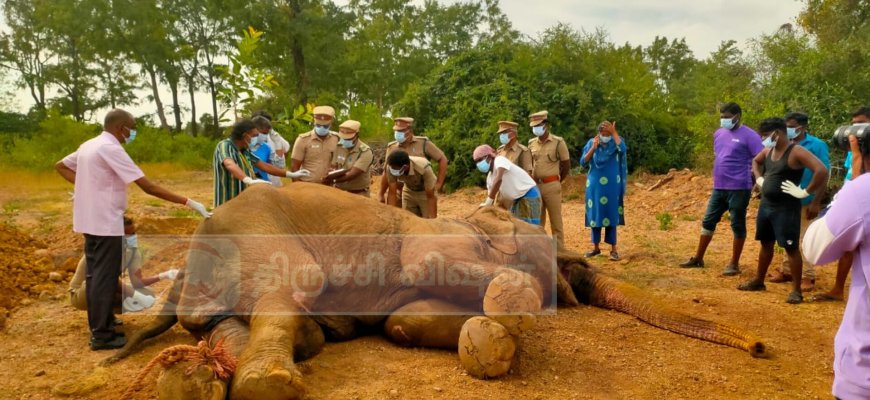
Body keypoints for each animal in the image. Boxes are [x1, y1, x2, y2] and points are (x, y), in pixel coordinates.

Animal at [105, 183, 768, 398]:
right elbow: (427, 266)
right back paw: (268, 382)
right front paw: (517, 315)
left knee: (225, 321)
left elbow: (406, 321)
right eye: (576, 266)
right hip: (255, 229)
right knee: (292, 288)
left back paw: (200, 373)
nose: (762, 347)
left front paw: (490, 346)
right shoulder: (437, 239)